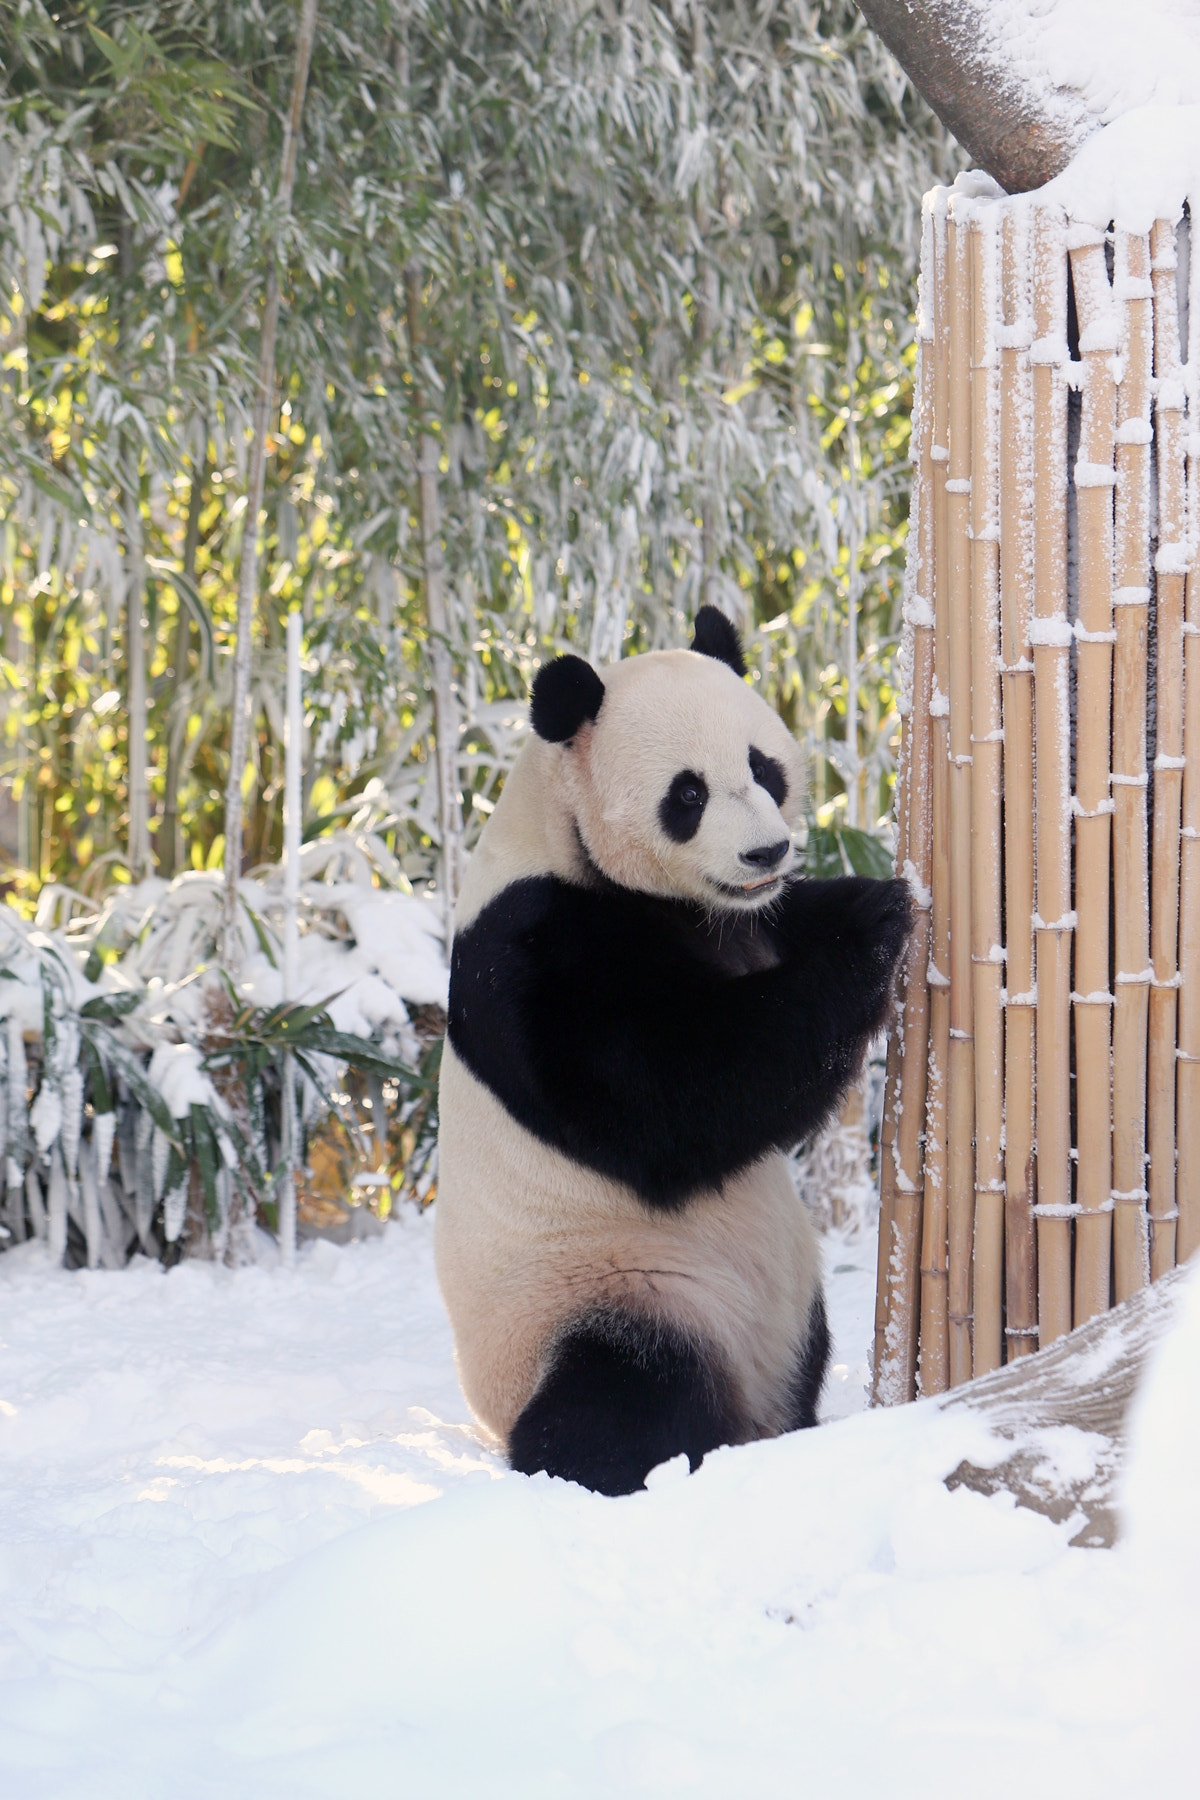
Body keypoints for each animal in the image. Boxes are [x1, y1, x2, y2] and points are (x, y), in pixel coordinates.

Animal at [435, 606, 911, 1495]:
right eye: (686, 795)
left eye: (763, 767)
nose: (766, 854)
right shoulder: (534, 950)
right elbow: (673, 1099)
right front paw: (877, 927)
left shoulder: (745, 920)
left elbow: (786, 926)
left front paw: (862, 891)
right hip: (606, 1292)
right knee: (623, 1392)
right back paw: (607, 1463)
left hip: (780, 1303)